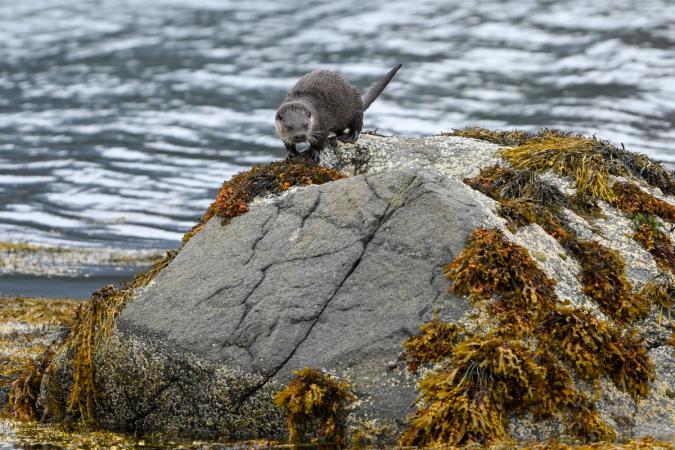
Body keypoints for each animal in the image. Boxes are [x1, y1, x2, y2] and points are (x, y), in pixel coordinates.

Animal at [274, 64, 402, 159]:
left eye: (305, 125)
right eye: (289, 127)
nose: (300, 135)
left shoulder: (322, 124)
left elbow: (320, 141)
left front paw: (314, 152)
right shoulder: (280, 131)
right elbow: (287, 143)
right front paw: (291, 154)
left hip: (355, 107)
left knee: (357, 124)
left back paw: (351, 136)